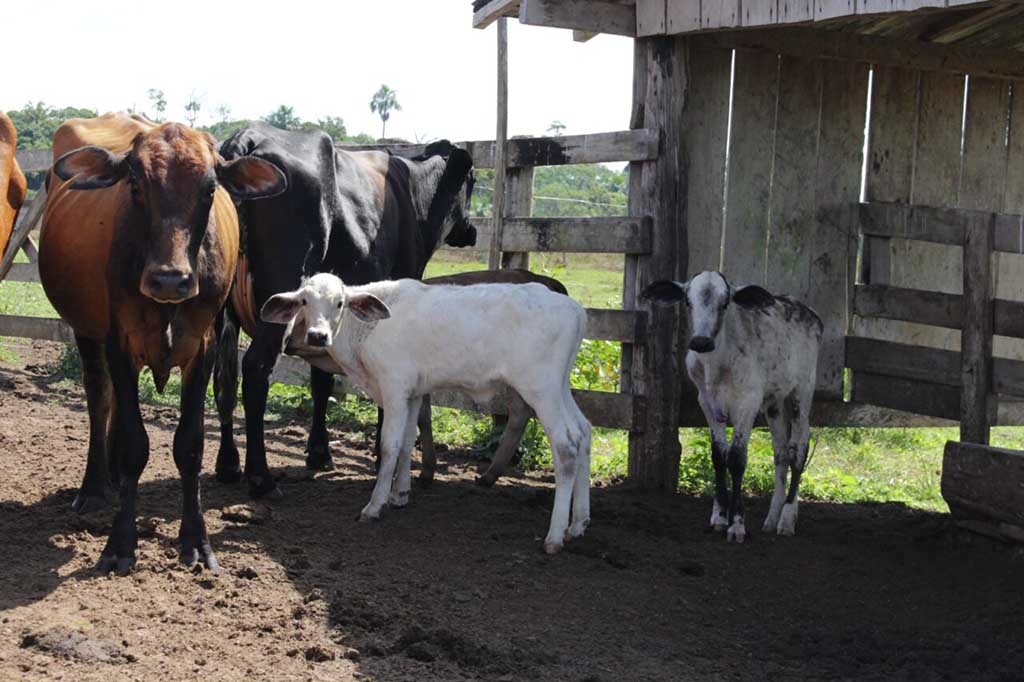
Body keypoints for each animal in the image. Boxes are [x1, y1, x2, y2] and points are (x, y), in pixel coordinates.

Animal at [40, 114, 286, 569]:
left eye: (210, 188)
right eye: (135, 183)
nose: (170, 280)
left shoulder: (203, 347)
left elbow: (189, 445)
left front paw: (196, 542)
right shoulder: (119, 341)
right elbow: (135, 444)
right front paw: (120, 543)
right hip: (88, 332)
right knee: (99, 398)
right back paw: (95, 488)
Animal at [214, 122, 477, 493]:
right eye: (473, 180)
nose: (471, 230)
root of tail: (248, 138)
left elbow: (321, 382)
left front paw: (319, 453)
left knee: (223, 376)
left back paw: (228, 464)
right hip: (275, 307)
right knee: (254, 369)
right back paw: (260, 477)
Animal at [260, 272, 589, 552]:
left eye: (339, 302)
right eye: (304, 301)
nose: (317, 336)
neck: (366, 332)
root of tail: (574, 309)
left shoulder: (394, 386)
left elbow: (390, 446)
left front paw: (375, 505)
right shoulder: (415, 391)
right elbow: (408, 442)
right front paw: (400, 495)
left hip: (540, 388)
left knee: (566, 445)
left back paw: (555, 536)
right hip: (559, 387)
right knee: (583, 432)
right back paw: (578, 524)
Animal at [647, 270, 823, 540]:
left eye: (725, 303)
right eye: (688, 302)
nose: (701, 342)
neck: (717, 365)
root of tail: (808, 311)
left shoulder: (748, 402)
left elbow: (737, 458)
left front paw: (737, 524)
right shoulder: (706, 402)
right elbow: (719, 456)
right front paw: (720, 517)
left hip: (802, 392)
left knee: (798, 450)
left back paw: (786, 519)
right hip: (775, 403)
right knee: (781, 453)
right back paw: (773, 518)